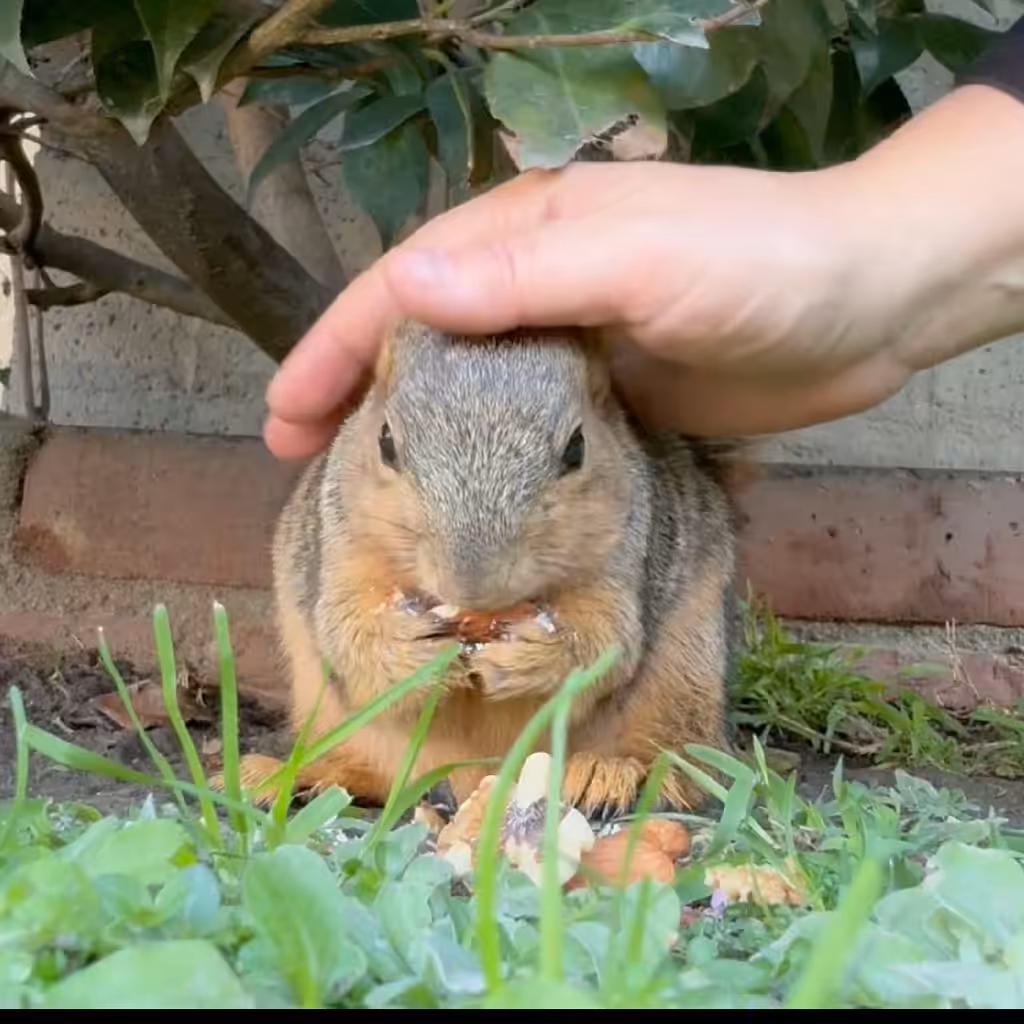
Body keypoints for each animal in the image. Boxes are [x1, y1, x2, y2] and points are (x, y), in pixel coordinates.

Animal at [230, 317, 742, 819]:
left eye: (577, 447)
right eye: (386, 442)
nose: (472, 584)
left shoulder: (623, 558)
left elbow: (605, 641)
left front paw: (534, 652)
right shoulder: (342, 551)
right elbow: (347, 632)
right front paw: (410, 648)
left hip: (683, 673)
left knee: (679, 761)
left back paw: (609, 773)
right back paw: (287, 775)